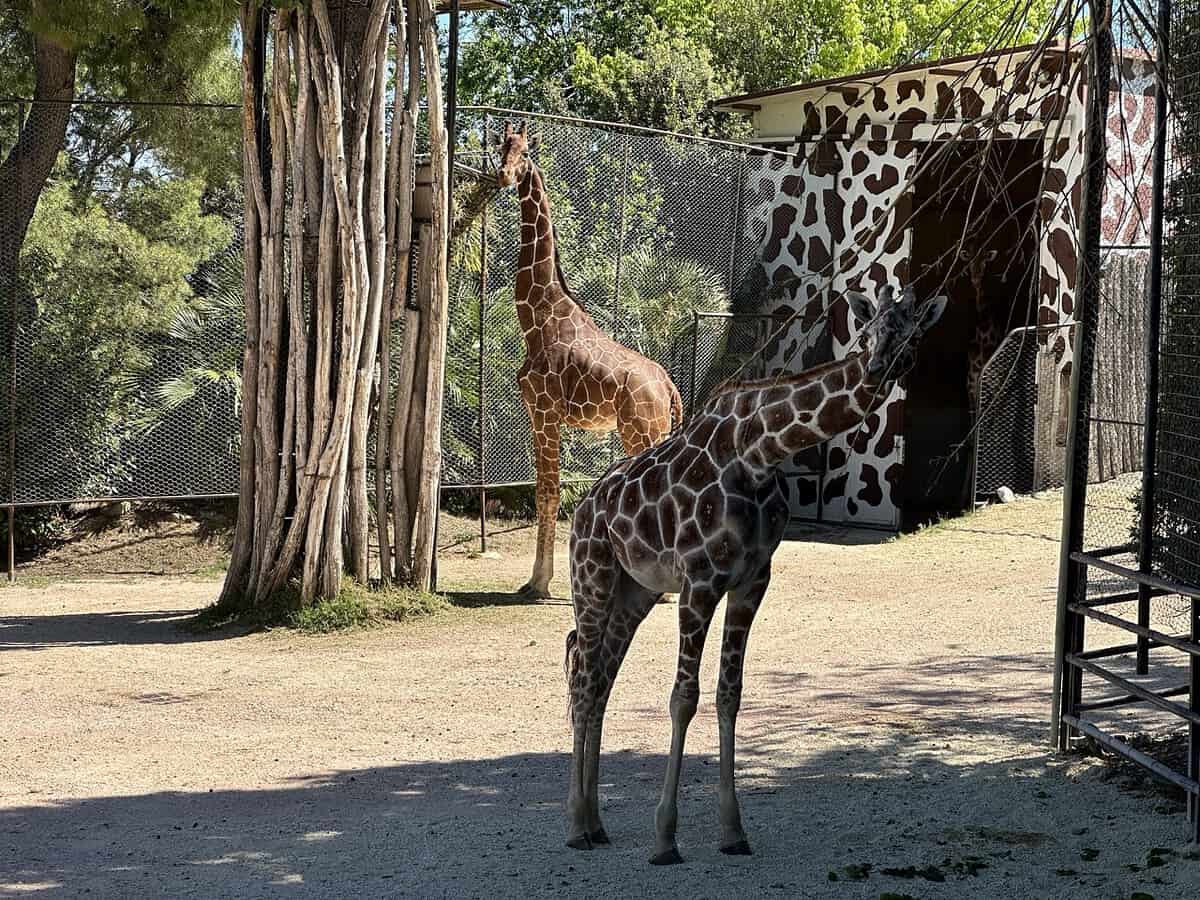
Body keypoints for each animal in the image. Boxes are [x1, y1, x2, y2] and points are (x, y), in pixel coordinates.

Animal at [494, 122, 683, 599]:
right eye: (501, 146)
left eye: (526, 152)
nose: (505, 174)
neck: (537, 317)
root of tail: (669, 387)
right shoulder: (537, 414)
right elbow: (545, 490)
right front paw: (536, 580)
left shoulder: (546, 411)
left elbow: (548, 492)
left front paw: (539, 584)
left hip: (641, 431)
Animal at [563, 284, 947, 863]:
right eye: (871, 329)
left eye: (913, 334)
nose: (879, 366)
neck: (761, 450)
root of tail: (583, 510)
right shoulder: (699, 579)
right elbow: (683, 698)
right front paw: (665, 837)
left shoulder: (751, 581)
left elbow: (730, 694)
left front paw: (732, 831)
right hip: (592, 578)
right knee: (583, 678)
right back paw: (576, 827)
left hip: (635, 593)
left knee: (601, 679)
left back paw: (596, 822)